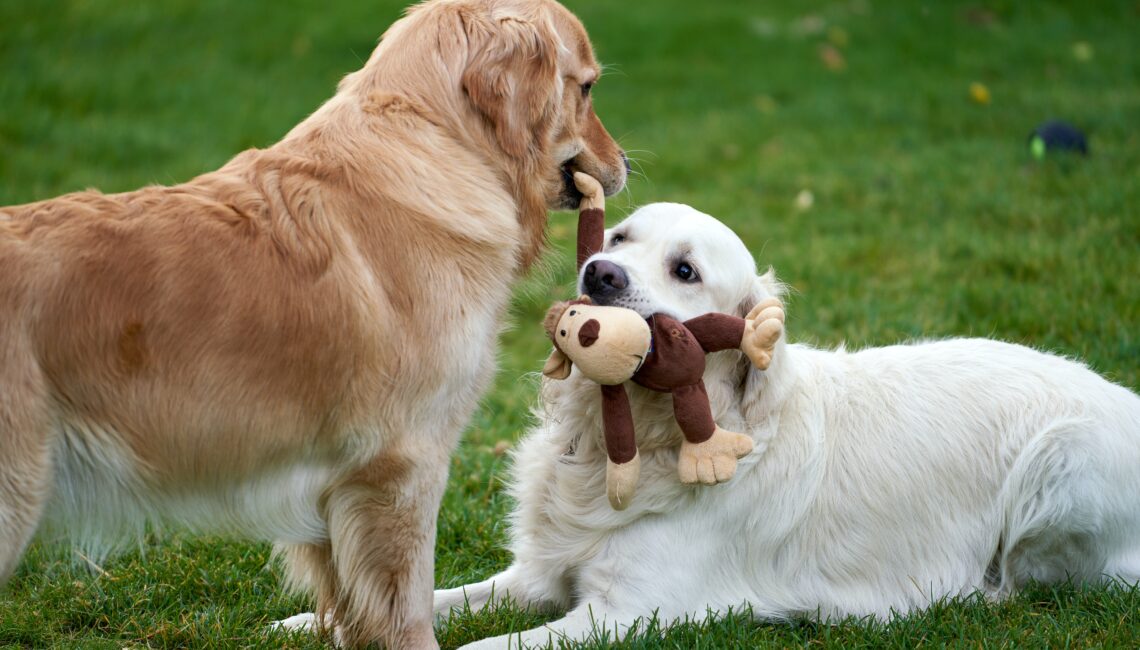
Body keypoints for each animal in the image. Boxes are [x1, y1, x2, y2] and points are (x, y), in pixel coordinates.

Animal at [0, 0, 624, 643]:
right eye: (586, 88)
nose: (625, 164)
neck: (434, 146)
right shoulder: (403, 463)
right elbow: (410, 603)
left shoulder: (339, 486)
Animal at [430, 200, 1140, 643]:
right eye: (619, 237)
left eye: (685, 270)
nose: (599, 272)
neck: (632, 438)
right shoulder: (537, 575)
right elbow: (435, 601)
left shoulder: (625, 611)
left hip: (1061, 462)